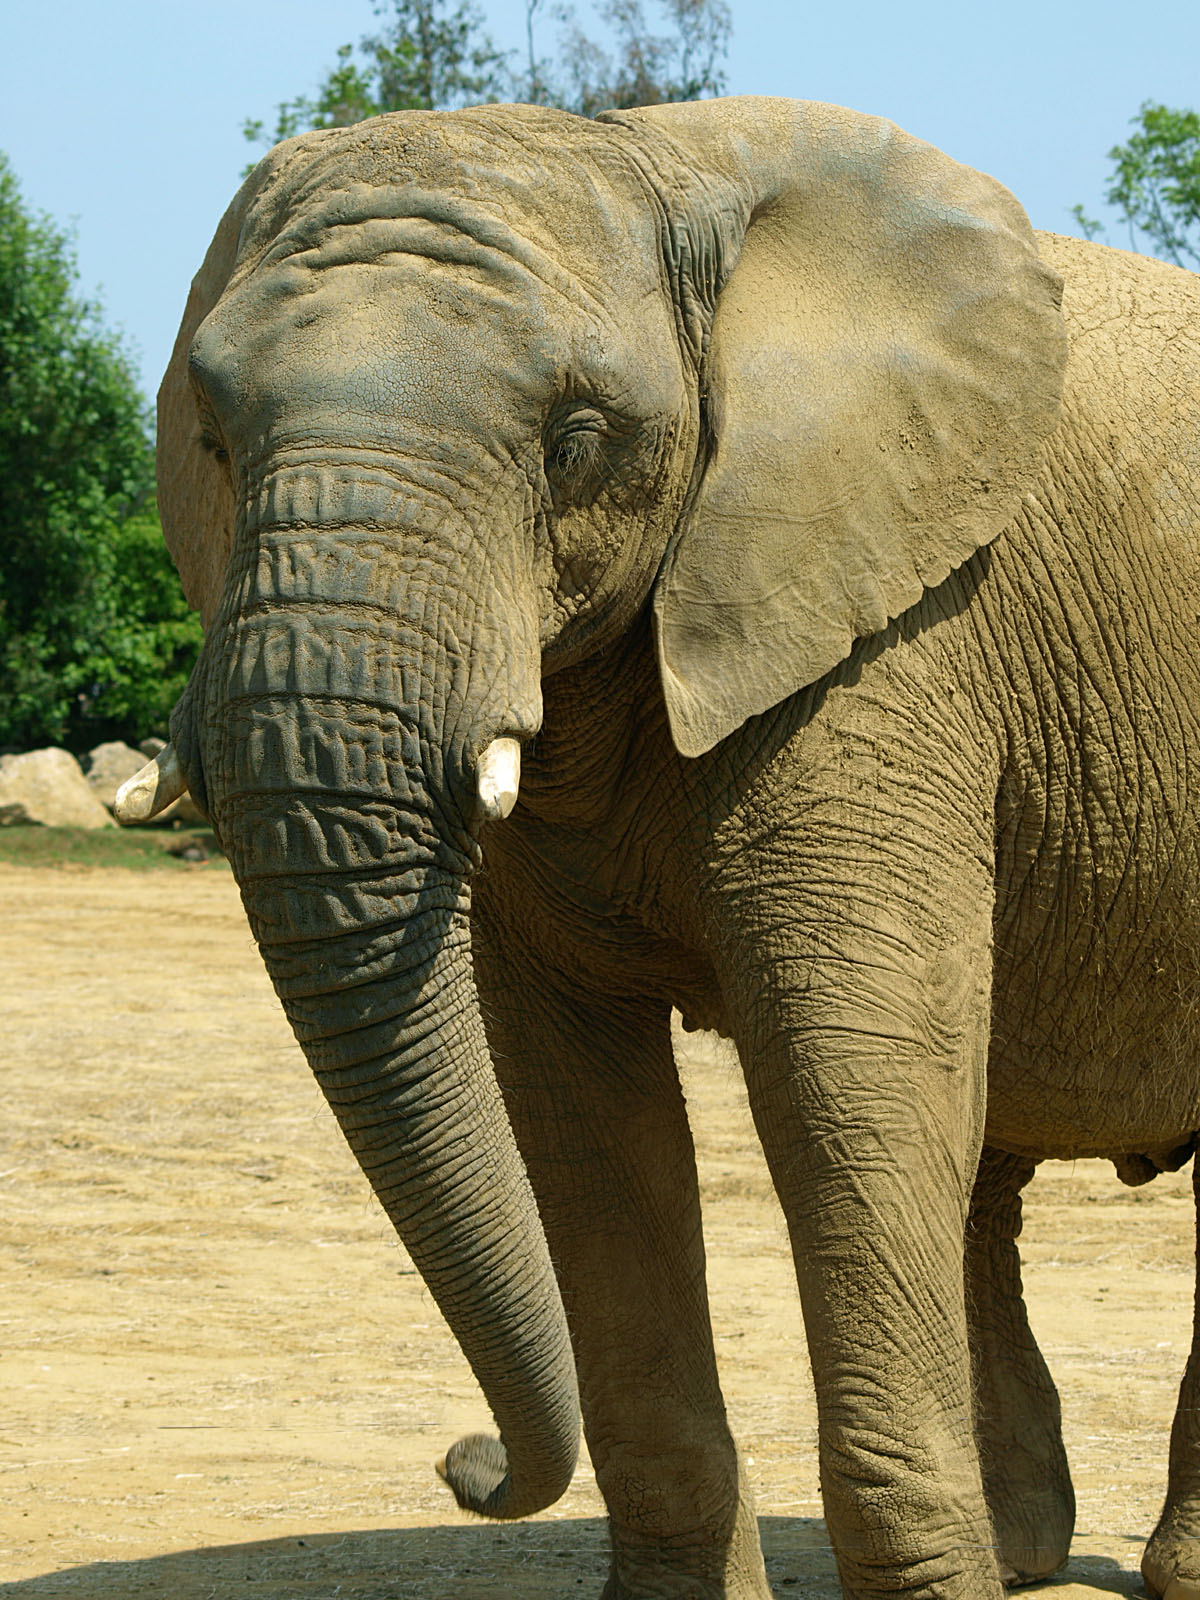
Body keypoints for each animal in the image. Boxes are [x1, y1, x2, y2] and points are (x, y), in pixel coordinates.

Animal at [118, 95, 1200, 1598]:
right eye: (212, 435)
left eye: (576, 438)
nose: (462, 1462)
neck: (645, 162)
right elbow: (580, 1110)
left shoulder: (888, 633)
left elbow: (850, 1078)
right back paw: (1029, 1552)